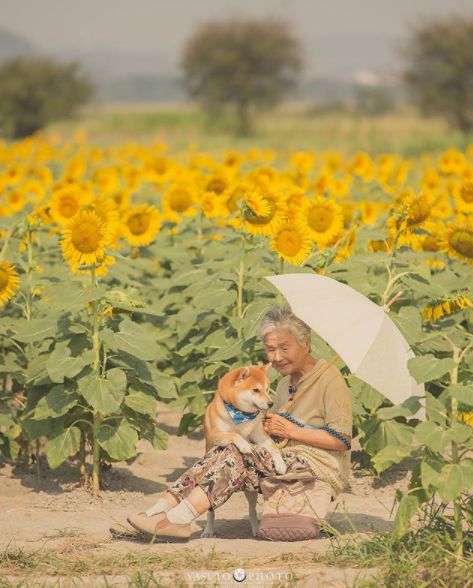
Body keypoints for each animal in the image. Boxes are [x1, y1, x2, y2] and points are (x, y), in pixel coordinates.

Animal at [201, 362, 286, 536]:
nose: (270, 404)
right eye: (256, 390)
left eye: (267, 389)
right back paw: (208, 530)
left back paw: (255, 529)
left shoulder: (258, 434)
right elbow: (234, 435)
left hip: (251, 492)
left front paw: (280, 464)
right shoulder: (215, 434)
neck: (240, 415)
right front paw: (245, 445)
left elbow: (273, 447)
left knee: (252, 511)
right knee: (211, 511)